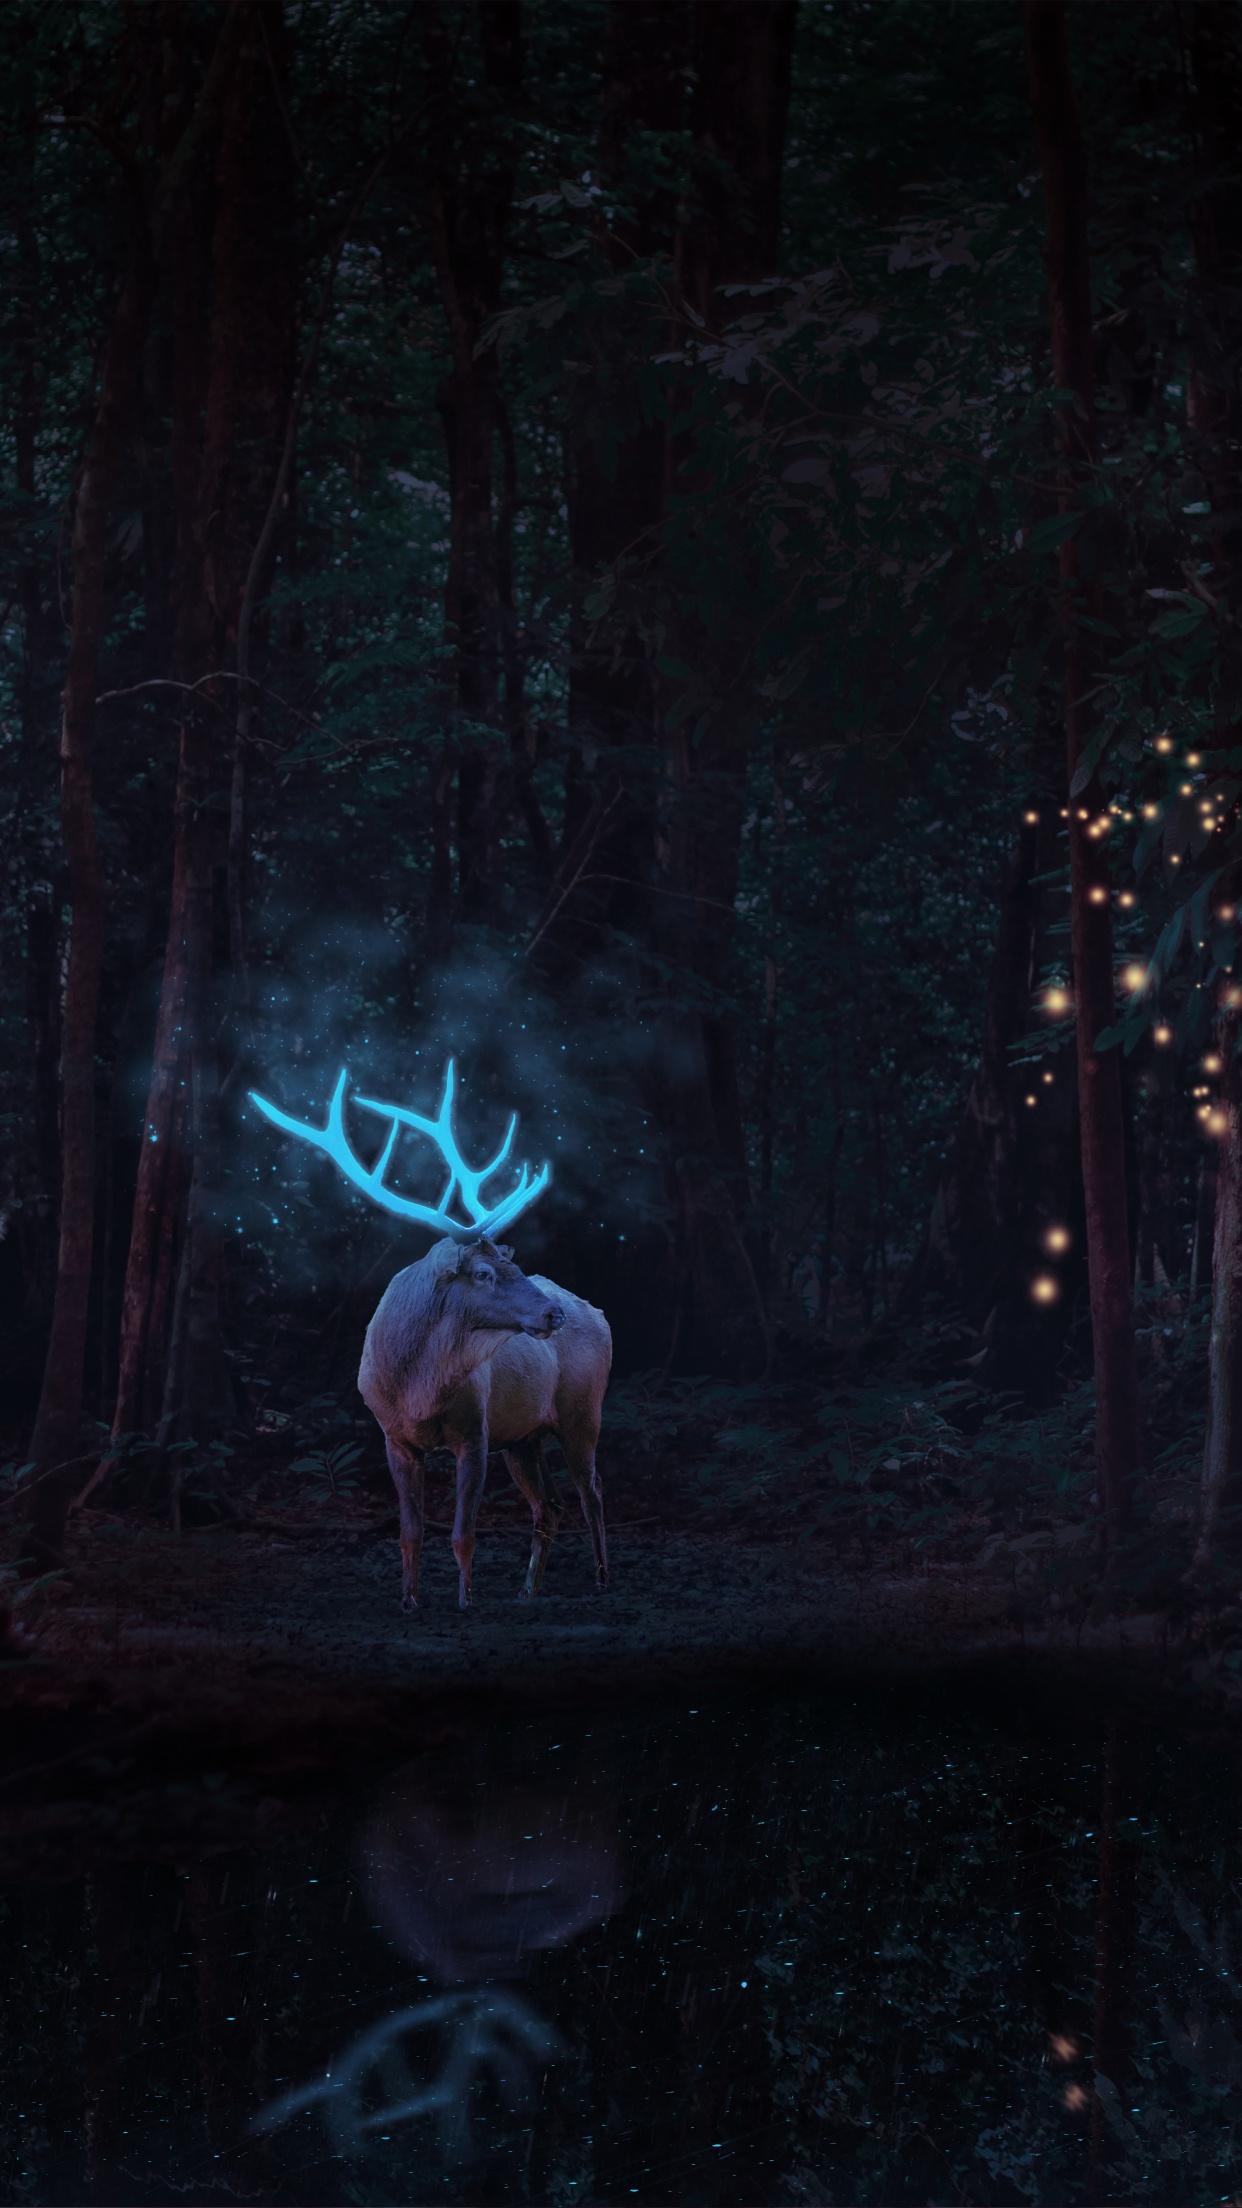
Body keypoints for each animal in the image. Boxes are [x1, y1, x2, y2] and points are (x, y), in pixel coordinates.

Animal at [249, 1060, 611, 1611]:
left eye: (515, 1265)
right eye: (483, 1274)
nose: (553, 1314)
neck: (417, 1387)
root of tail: (600, 1313)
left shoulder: (476, 1432)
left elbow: (463, 1532)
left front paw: (465, 1600)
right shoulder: (393, 1436)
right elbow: (410, 1532)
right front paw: (409, 1600)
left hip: (582, 1412)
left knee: (592, 1493)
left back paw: (601, 1580)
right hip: (523, 1437)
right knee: (549, 1505)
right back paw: (527, 1590)